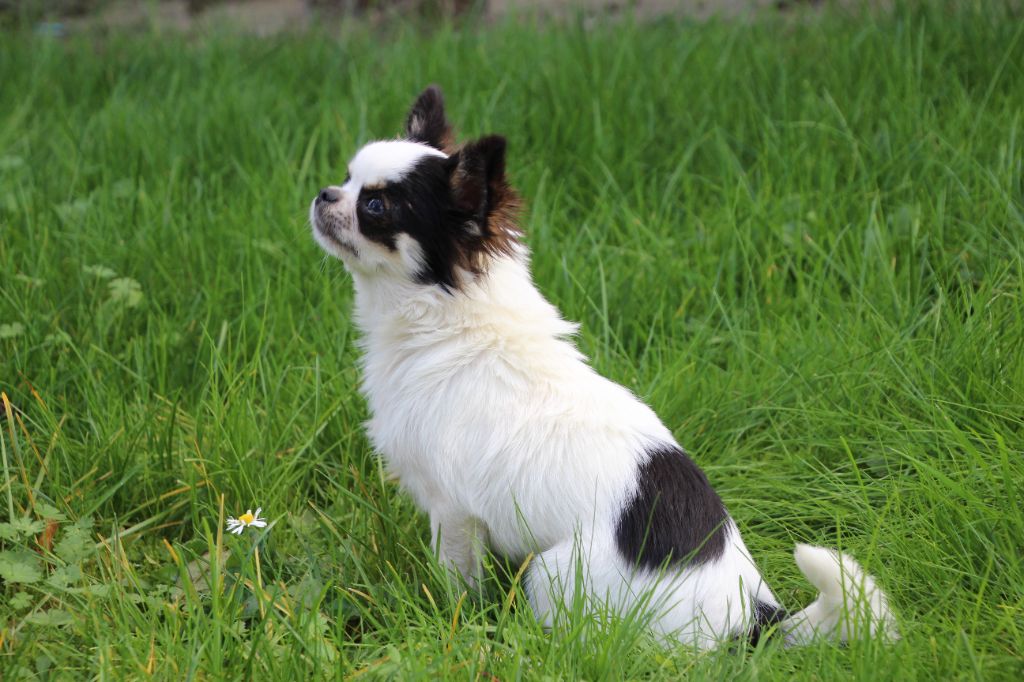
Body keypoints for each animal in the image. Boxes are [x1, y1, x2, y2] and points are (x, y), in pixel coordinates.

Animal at [309, 86, 897, 647]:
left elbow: (457, 582)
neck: (447, 318)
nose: (324, 194)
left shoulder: (454, 513)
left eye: (376, 207)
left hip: (549, 571)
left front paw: (446, 617)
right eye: (347, 177)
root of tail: (752, 620)